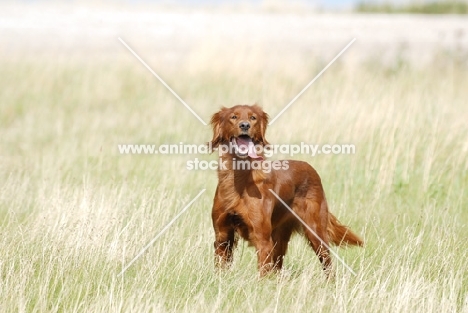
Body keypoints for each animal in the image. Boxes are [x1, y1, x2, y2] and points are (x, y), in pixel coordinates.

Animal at [210, 103, 364, 274]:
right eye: (234, 117)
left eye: (253, 118)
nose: (245, 125)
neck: (238, 180)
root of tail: (310, 168)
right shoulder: (222, 237)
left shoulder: (262, 240)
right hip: (280, 238)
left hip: (316, 233)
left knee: (328, 266)